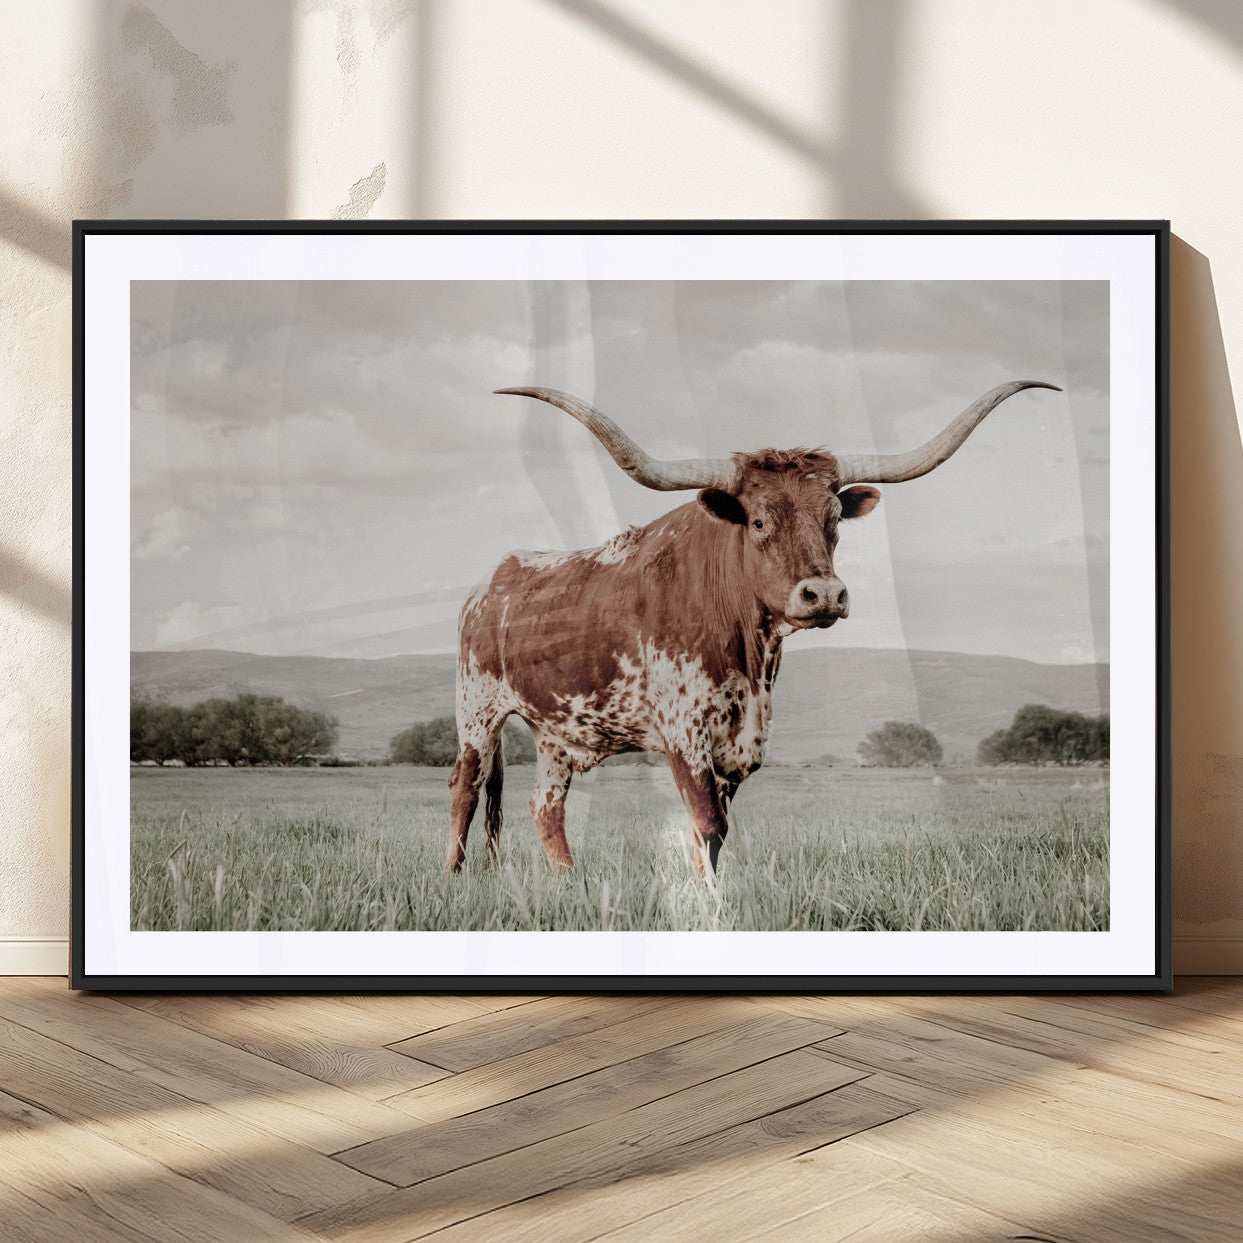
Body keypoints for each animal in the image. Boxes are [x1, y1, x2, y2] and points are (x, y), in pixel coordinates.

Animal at [446, 380, 1060, 875]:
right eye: (760, 521)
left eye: (834, 520)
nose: (824, 594)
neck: (749, 654)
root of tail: (487, 586)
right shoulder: (684, 733)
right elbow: (705, 825)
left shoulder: (741, 745)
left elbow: (718, 834)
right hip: (477, 713)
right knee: (464, 792)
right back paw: (454, 880)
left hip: (556, 733)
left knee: (545, 808)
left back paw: (569, 881)